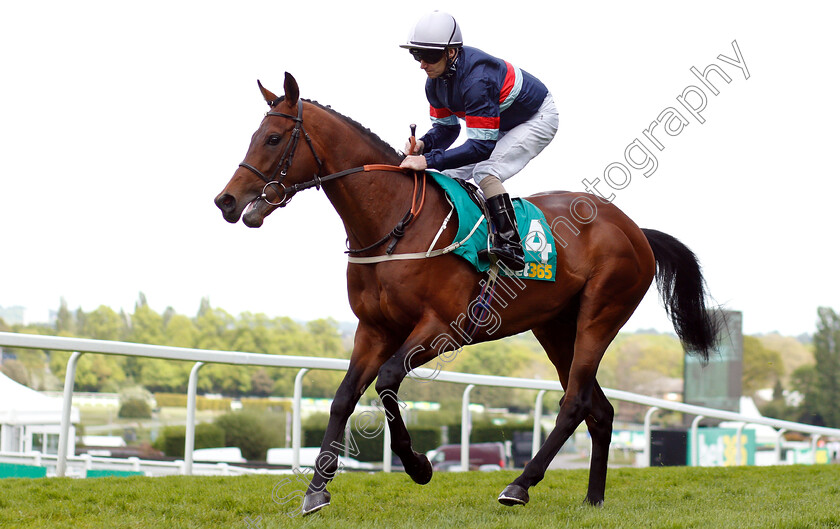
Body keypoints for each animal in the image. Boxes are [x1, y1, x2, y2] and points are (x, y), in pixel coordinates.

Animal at [213, 72, 720, 512]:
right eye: (254, 135)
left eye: (273, 139)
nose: (226, 201)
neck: (397, 223)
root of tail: (635, 230)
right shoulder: (373, 329)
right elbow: (342, 399)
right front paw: (317, 490)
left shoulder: (443, 327)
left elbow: (388, 381)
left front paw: (418, 466)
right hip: (556, 329)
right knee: (600, 409)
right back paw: (592, 498)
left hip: (601, 314)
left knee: (574, 403)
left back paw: (519, 485)